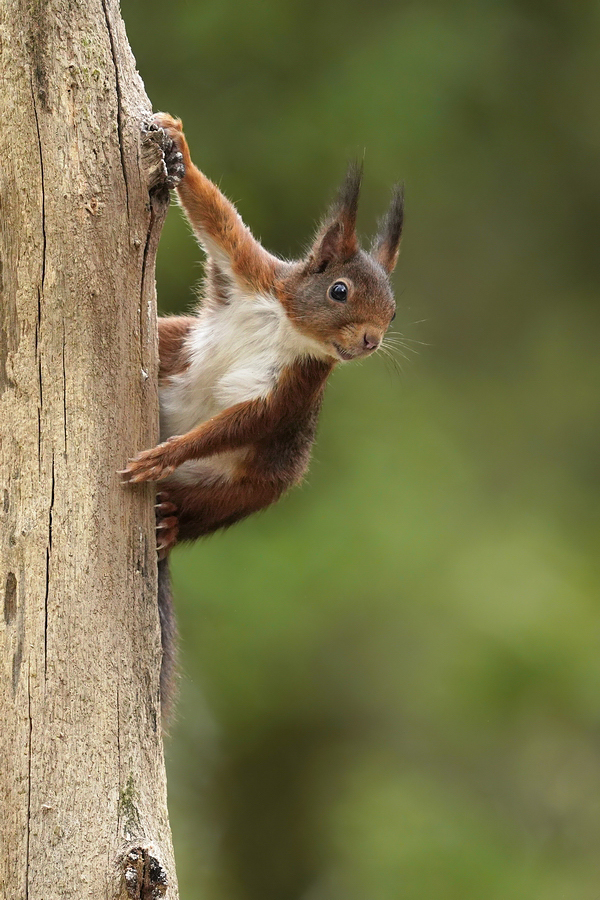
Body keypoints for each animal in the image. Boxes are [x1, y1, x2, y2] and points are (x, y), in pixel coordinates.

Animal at [122, 116, 404, 712]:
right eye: (339, 290)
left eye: (393, 311)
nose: (371, 342)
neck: (288, 326)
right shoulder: (252, 275)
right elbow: (219, 221)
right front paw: (177, 146)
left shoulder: (296, 388)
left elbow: (247, 421)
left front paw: (167, 453)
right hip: (174, 338)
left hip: (250, 487)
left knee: (202, 508)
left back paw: (170, 519)